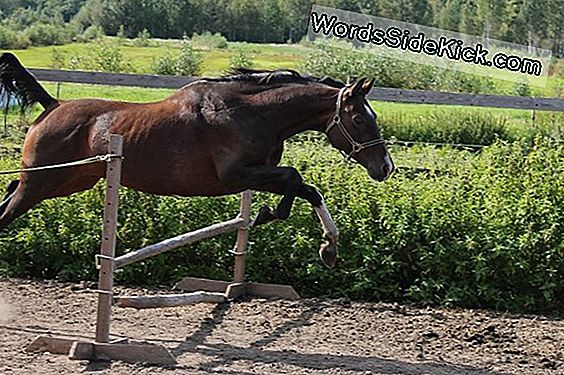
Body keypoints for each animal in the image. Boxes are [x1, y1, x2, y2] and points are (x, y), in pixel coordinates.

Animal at [0, 53, 394, 268]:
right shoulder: (237, 176)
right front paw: (268, 215)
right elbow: (295, 179)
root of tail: (52, 105)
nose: (385, 167)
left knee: (9, 190)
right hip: (41, 183)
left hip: (67, 181)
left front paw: (329, 248)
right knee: (7, 209)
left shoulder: (255, 174)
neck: (254, 112)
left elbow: (308, 190)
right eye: (360, 119)